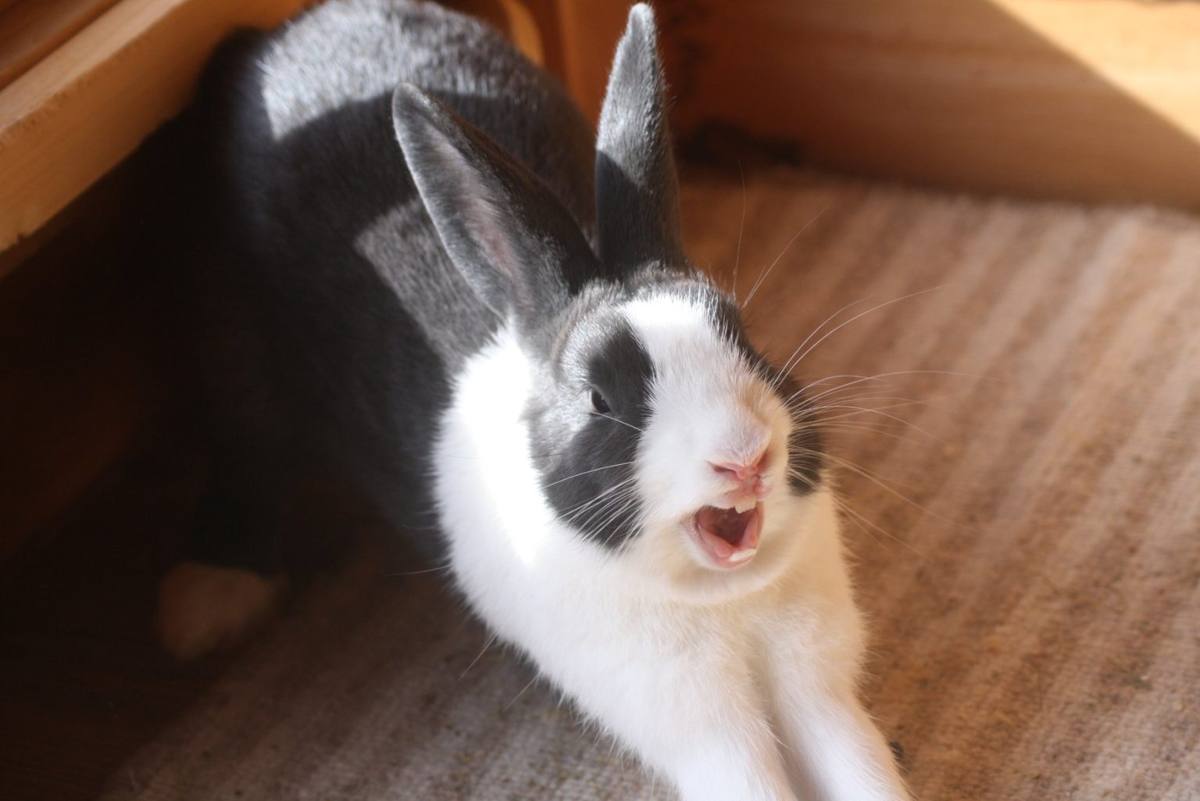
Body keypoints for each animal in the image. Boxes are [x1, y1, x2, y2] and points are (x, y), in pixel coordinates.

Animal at [162, 1, 911, 799]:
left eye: (742, 335)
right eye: (599, 398)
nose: (743, 456)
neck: (724, 596)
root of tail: (281, 34)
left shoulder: (816, 689)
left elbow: (860, 763)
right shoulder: (707, 728)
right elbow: (751, 778)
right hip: (235, 347)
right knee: (248, 455)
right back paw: (204, 602)